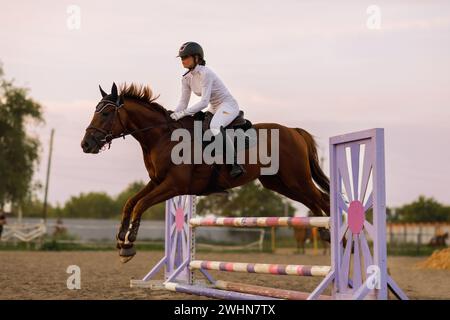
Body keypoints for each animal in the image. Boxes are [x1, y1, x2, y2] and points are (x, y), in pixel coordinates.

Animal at [81, 82, 330, 262]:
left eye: (105, 114)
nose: (86, 144)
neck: (162, 137)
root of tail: (294, 131)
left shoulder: (174, 185)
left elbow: (140, 205)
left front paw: (129, 245)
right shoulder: (157, 182)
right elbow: (130, 203)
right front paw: (120, 239)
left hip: (296, 179)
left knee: (322, 199)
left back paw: (335, 235)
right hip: (279, 183)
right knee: (315, 201)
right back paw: (326, 233)